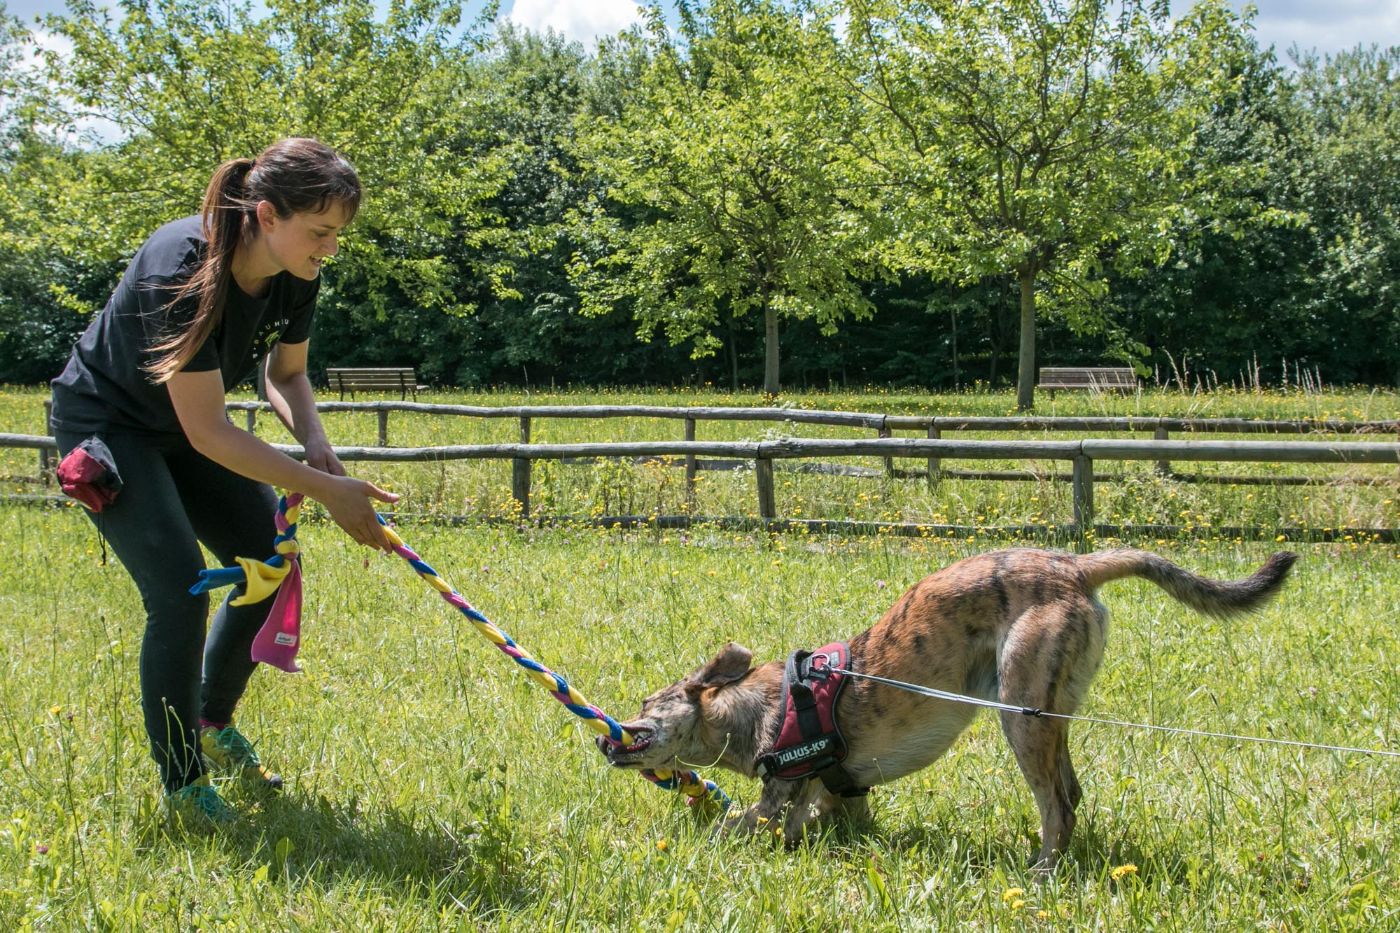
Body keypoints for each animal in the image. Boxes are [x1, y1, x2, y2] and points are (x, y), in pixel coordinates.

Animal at [596, 546, 1293, 862]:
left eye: (647, 702)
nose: (604, 736)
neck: (746, 706)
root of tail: (1075, 566)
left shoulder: (776, 798)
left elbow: (735, 825)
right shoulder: (838, 794)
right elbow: (834, 820)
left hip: (1022, 713)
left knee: (1057, 805)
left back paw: (1042, 872)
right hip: (1052, 713)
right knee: (1072, 791)